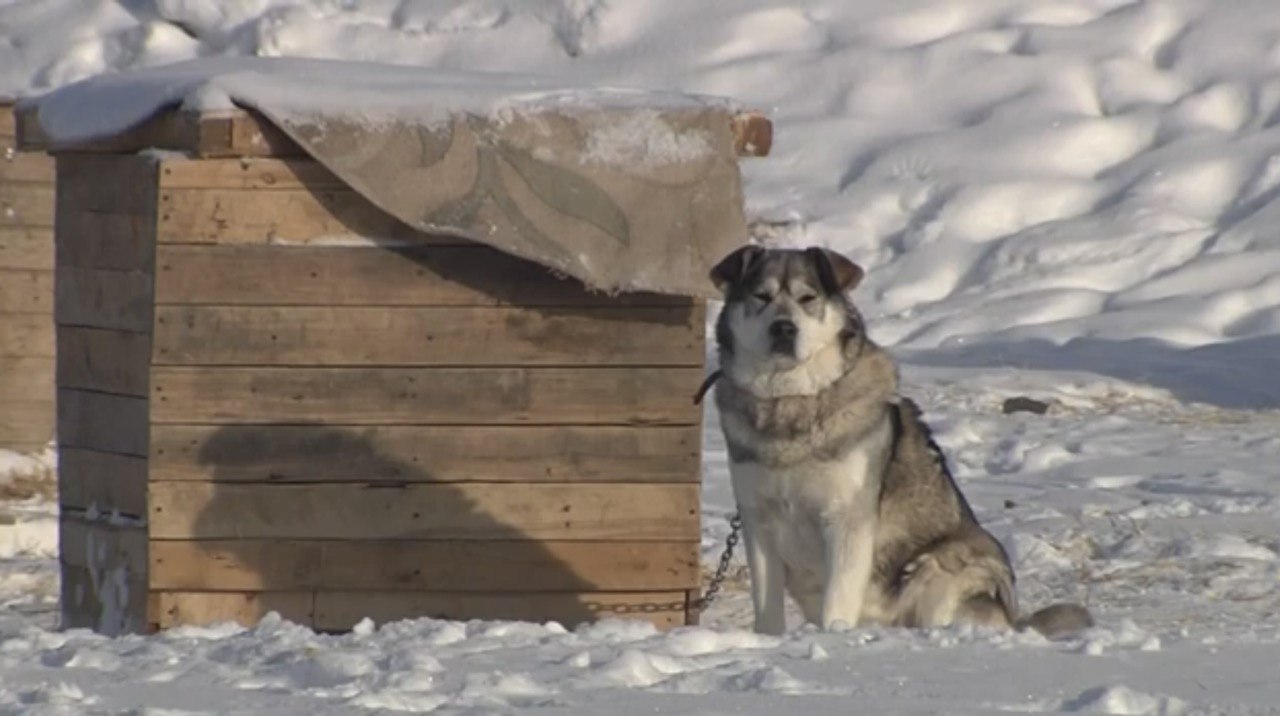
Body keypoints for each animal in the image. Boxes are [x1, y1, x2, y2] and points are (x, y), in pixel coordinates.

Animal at [711, 244, 1090, 637]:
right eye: (761, 296)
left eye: (807, 298)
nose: (783, 328)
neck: (791, 403)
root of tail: (1014, 621)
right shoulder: (759, 522)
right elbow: (767, 611)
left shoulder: (847, 520)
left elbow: (837, 603)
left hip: (946, 564)